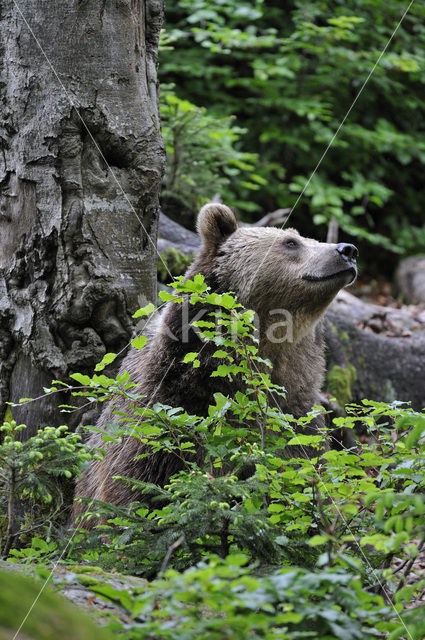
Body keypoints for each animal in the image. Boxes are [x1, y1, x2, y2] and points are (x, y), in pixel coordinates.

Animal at [74, 202, 356, 524]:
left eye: (308, 238)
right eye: (291, 242)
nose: (347, 250)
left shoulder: (297, 418)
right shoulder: (168, 412)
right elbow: (135, 490)